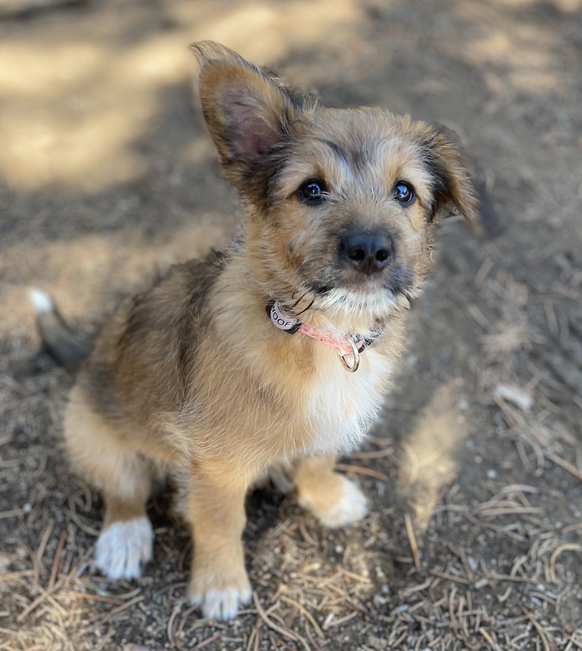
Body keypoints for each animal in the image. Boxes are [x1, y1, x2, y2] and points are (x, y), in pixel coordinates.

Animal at [32, 42, 480, 620]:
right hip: (91, 434)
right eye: (311, 189)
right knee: (123, 490)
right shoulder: (216, 465)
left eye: (404, 191)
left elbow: (318, 457)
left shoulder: (328, 423)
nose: (370, 251)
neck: (315, 329)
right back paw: (125, 537)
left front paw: (325, 496)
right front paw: (220, 582)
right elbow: (222, 522)